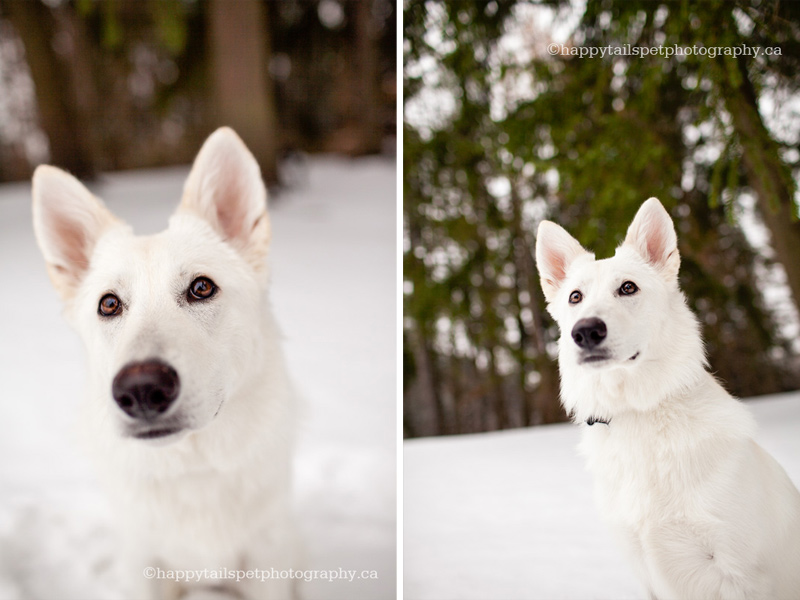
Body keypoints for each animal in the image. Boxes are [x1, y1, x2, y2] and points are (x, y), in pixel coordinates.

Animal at [31, 127, 298, 600]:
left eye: (202, 288)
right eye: (109, 304)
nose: (140, 390)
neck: (192, 468)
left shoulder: (266, 565)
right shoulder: (144, 567)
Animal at [536, 200, 800, 600]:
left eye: (628, 288)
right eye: (575, 297)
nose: (585, 331)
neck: (638, 412)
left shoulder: (745, 575)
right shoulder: (646, 572)